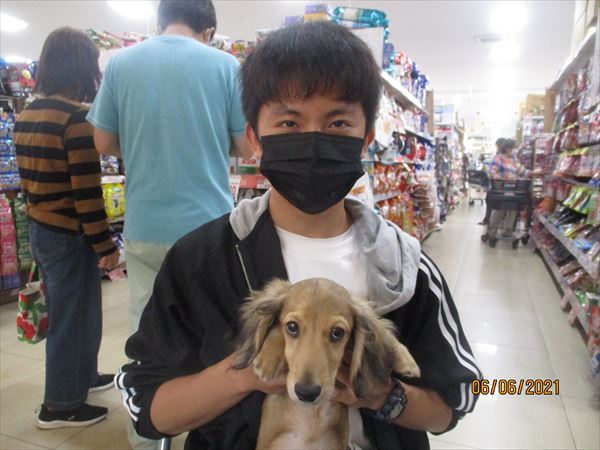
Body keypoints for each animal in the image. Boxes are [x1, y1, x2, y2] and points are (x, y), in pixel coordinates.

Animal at [234, 278, 420, 450]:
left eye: (337, 332)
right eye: (292, 326)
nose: (306, 393)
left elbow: (383, 330)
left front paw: (404, 359)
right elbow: (276, 328)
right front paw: (268, 359)